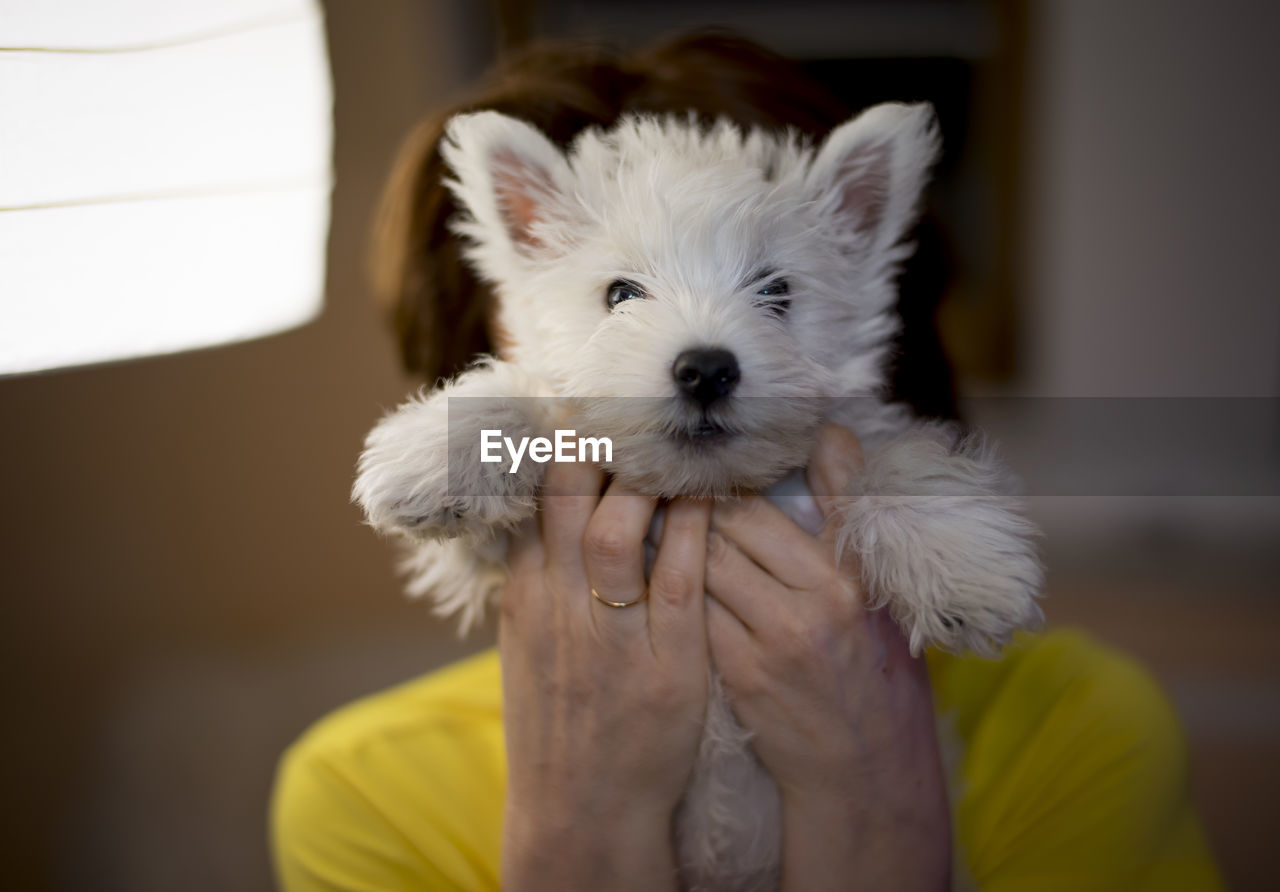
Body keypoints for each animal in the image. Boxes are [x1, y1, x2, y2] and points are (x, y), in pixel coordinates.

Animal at [350, 106, 1039, 890]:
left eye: (777, 291)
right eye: (620, 294)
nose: (705, 368)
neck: (703, 494)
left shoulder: (850, 437)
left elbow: (893, 457)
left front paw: (966, 570)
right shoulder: (489, 558)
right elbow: (538, 402)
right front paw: (435, 453)